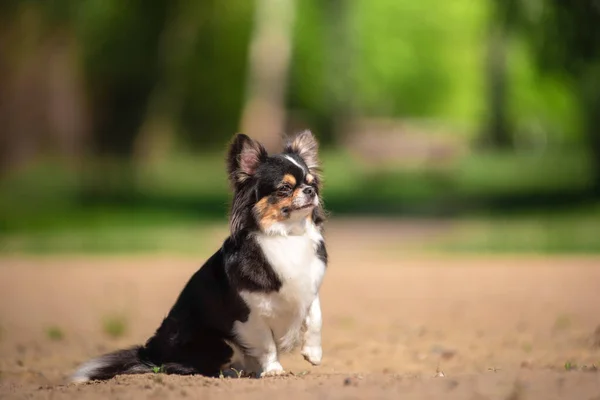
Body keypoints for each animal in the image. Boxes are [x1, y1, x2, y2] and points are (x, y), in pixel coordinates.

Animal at [72, 130, 330, 382]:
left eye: (312, 184)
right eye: (285, 188)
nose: (310, 191)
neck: (288, 235)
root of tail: (150, 353)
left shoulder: (308, 290)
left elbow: (316, 317)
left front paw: (313, 353)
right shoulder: (250, 314)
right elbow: (267, 344)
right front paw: (274, 369)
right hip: (217, 343)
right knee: (179, 367)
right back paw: (230, 373)